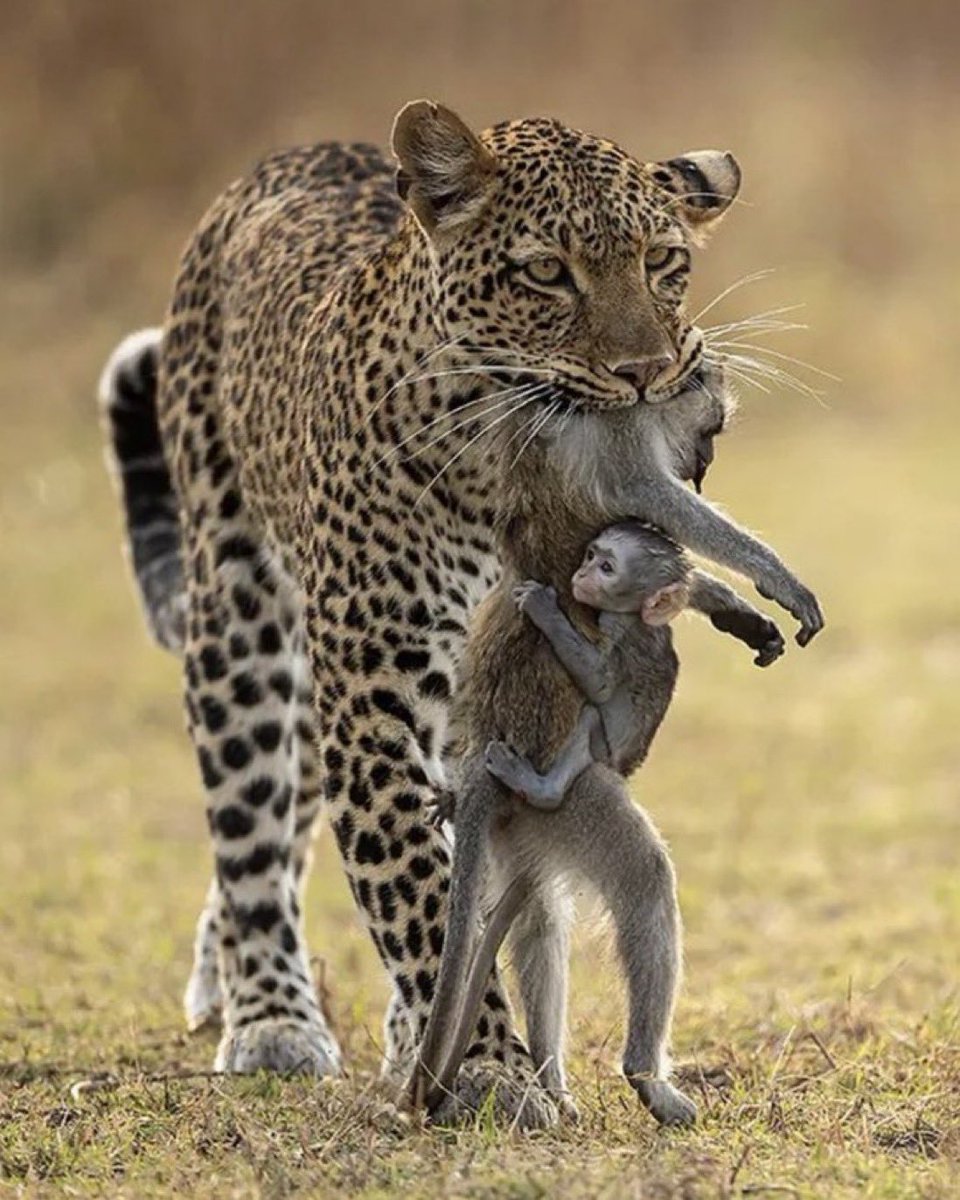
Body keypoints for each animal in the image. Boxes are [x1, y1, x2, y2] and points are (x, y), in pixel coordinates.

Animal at [99, 100, 746, 1126]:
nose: (648, 372)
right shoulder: (372, 689)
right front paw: (486, 1066)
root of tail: (291, 155)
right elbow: (419, 884)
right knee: (251, 827)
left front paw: (449, 1050)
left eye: (663, 261)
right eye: (546, 272)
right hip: (244, 618)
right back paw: (271, 1014)